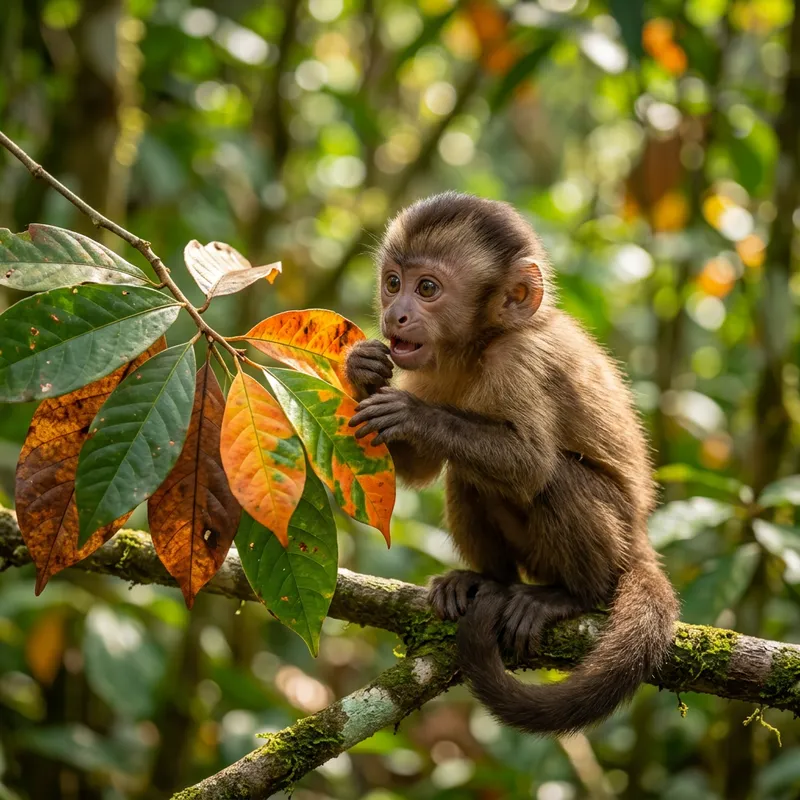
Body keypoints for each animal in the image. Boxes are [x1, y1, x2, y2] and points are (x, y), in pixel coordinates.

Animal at [343, 191, 679, 736]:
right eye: (393, 282)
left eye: (427, 288)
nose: (395, 315)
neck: (479, 343)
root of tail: (642, 540)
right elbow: (418, 468)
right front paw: (362, 369)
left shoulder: (520, 359)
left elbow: (530, 465)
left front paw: (415, 415)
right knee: (466, 475)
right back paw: (488, 581)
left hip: (614, 542)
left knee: (554, 479)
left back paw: (572, 596)